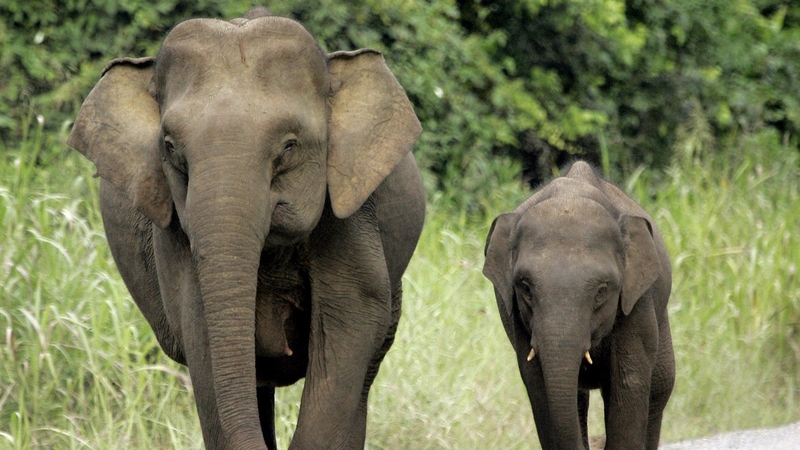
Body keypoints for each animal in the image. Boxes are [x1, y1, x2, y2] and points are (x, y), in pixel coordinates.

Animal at [483, 161, 675, 450]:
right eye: (525, 288)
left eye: (602, 291)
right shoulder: (517, 316)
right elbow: (538, 385)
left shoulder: (637, 302)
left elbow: (629, 382)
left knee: (661, 385)